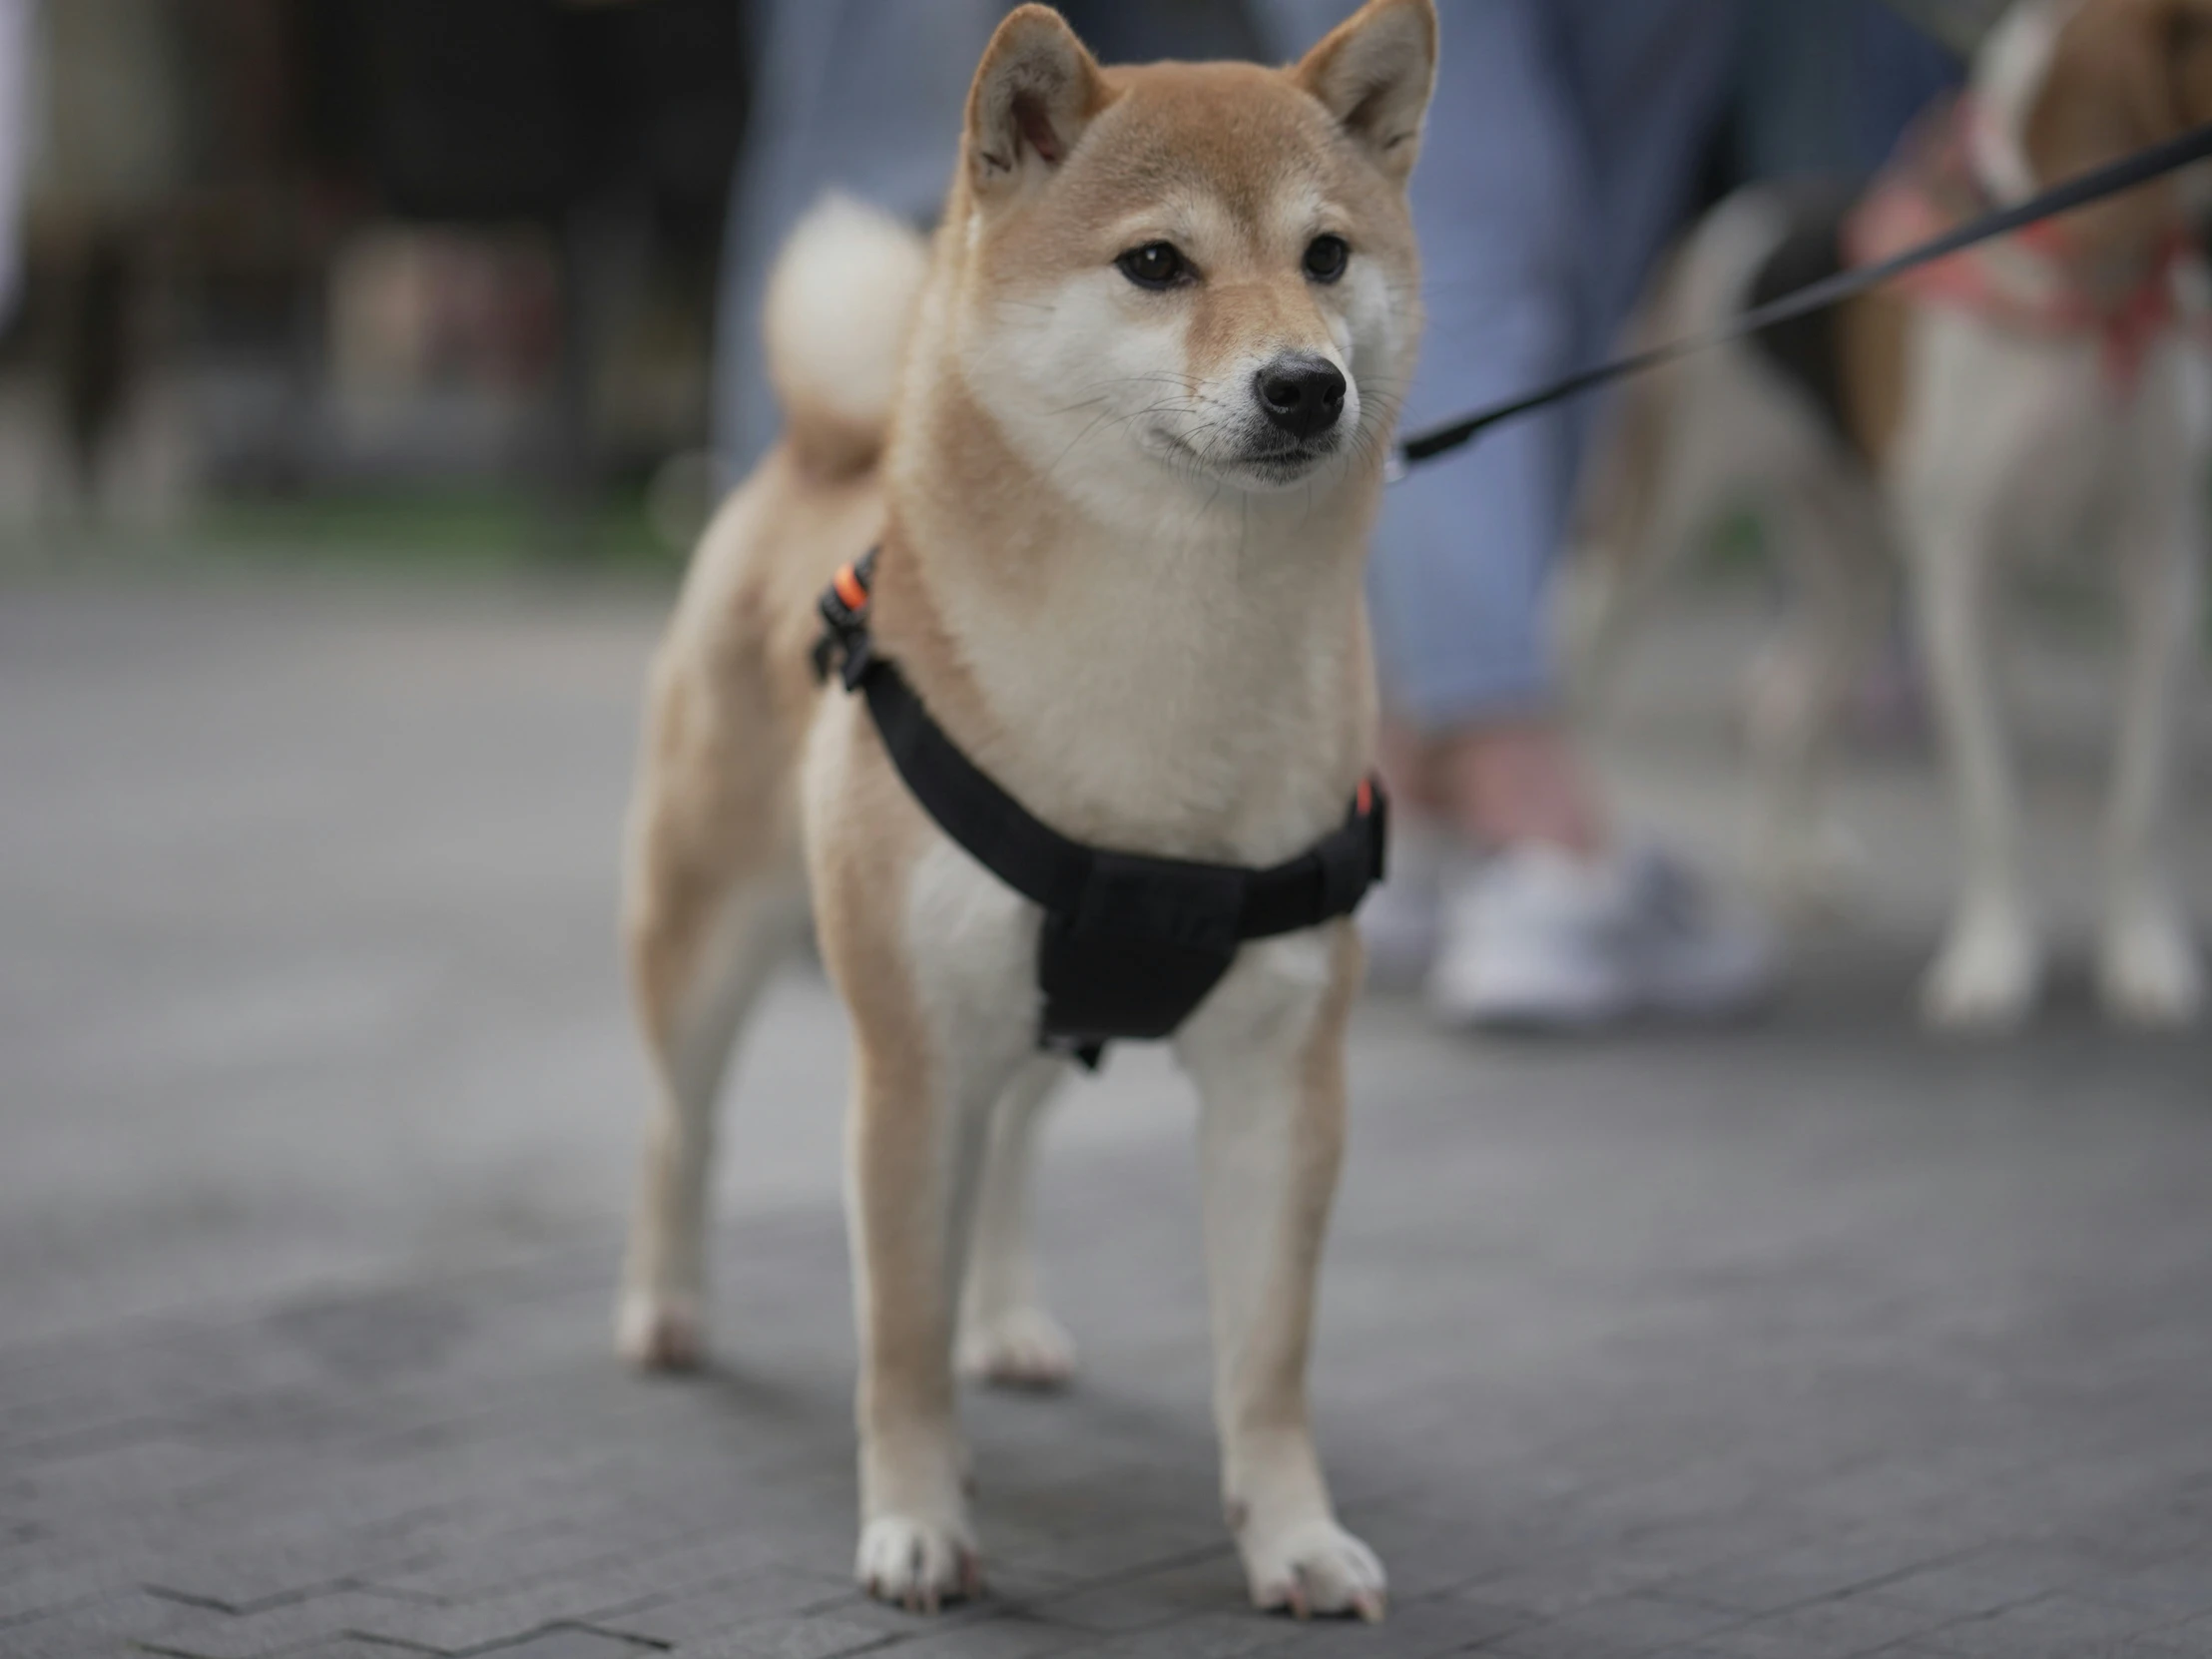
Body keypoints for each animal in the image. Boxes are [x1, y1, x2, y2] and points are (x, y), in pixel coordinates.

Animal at [615, 0, 1432, 1627]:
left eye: (1326, 254)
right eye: (1156, 264)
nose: (1306, 384)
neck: (1169, 664)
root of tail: (822, 448)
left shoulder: (1280, 1076)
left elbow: (1268, 1357)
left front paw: (1293, 1536)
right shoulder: (909, 1060)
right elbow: (897, 1335)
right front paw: (917, 1523)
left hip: (1037, 1020)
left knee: (1012, 1152)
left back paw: (1006, 1322)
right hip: (710, 934)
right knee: (683, 1124)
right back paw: (667, 1306)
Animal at [1574, 0, 2212, 1035]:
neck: (2078, 300)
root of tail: (1743, 207)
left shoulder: (2158, 569)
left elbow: (2139, 799)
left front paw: (2146, 957)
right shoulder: (1967, 581)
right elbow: (1993, 801)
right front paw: (1993, 962)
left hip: (1859, 570)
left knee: (1784, 704)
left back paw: (1796, 865)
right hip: (1651, 532)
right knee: (1584, 667)